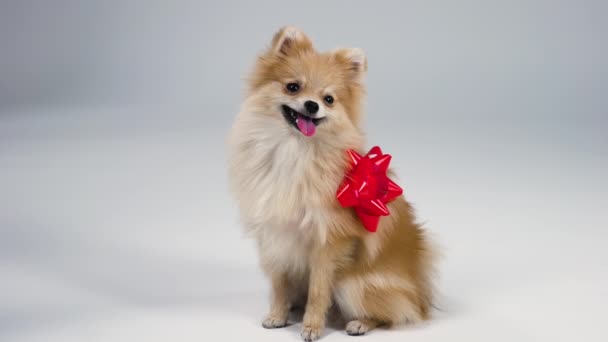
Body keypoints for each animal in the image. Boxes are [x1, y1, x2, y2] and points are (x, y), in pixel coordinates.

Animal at [226, 27, 434, 342]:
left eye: (329, 99)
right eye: (293, 87)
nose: (312, 105)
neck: (295, 151)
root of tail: (421, 295)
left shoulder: (328, 240)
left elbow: (318, 290)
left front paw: (312, 326)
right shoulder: (274, 236)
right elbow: (279, 284)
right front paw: (277, 315)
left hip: (355, 284)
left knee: (394, 313)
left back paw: (360, 323)